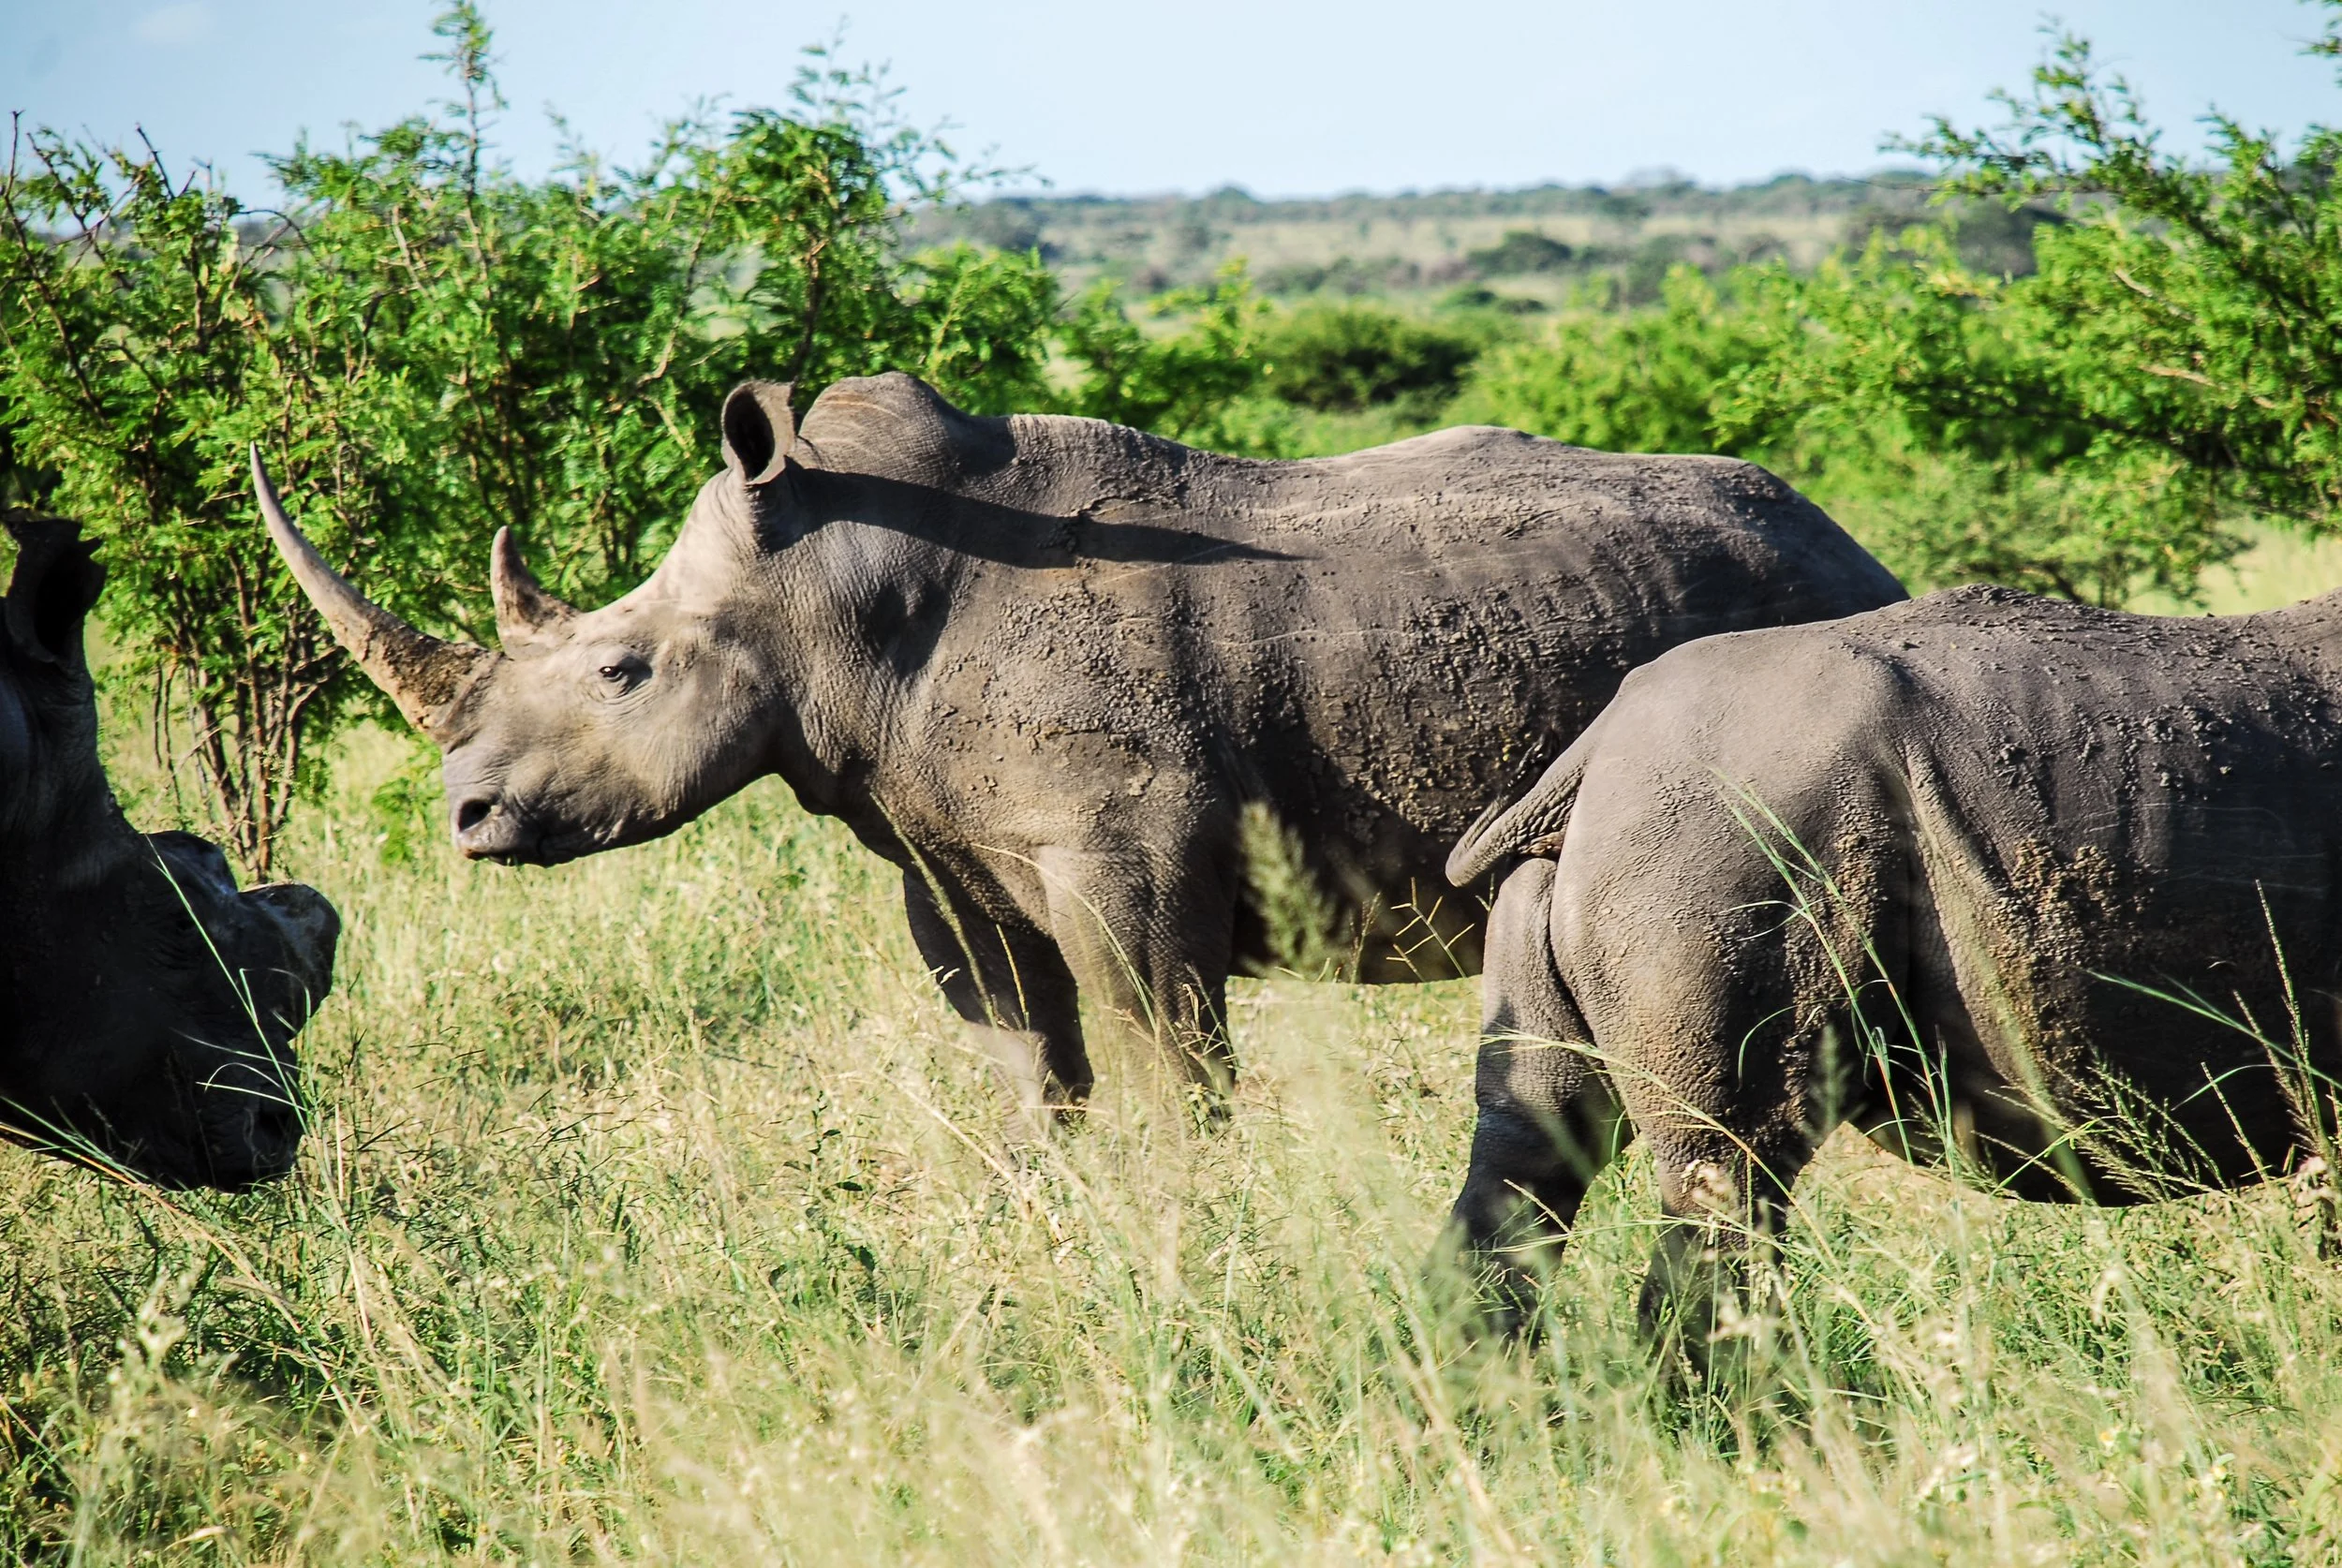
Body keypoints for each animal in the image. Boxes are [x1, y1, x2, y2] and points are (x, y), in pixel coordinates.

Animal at [256, 373, 1902, 1116]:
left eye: (619, 668)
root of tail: (1860, 546)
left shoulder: (1129, 854)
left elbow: (1170, 1069)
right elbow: (1030, 1075)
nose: (467, 817)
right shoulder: (942, 853)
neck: (829, 594)